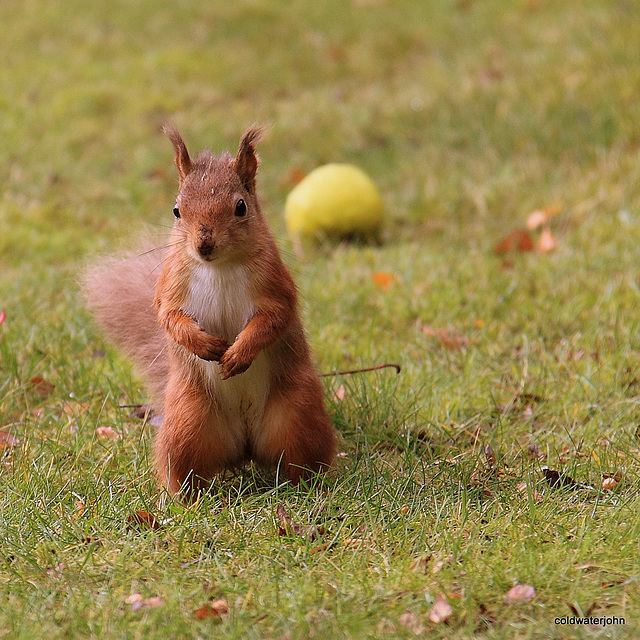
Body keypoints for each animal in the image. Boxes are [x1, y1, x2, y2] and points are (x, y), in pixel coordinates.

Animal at [82, 124, 338, 496]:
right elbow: (169, 317)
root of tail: (245, 446)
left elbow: (273, 319)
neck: (219, 267)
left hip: (298, 415)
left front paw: (237, 354)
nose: (204, 243)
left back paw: (309, 487)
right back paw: (182, 498)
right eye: (177, 210)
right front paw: (204, 345)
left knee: (301, 460)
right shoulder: (170, 286)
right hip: (188, 422)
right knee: (185, 469)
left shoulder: (276, 287)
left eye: (241, 207)